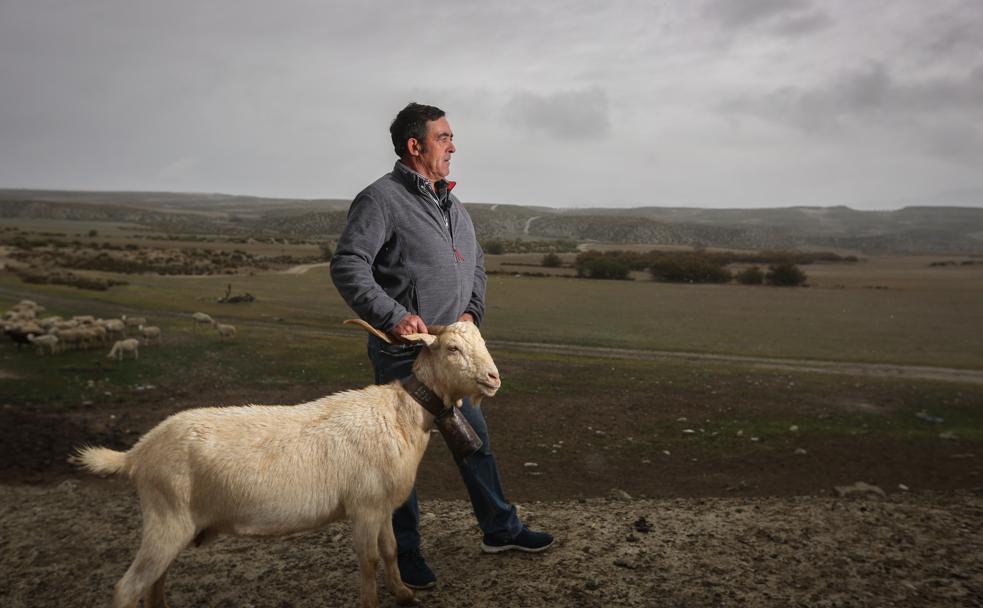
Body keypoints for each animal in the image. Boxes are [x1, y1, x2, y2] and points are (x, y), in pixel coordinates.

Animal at [73, 320, 500, 608]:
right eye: (452, 349)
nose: (494, 378)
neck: (399, 413)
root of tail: (137, 453)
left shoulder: (380, 507)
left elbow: (391, 550)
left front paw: (403, 592)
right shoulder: (363, 507)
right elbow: (368, 561)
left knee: (154, 583)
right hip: (166, 519)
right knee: (127, 588)